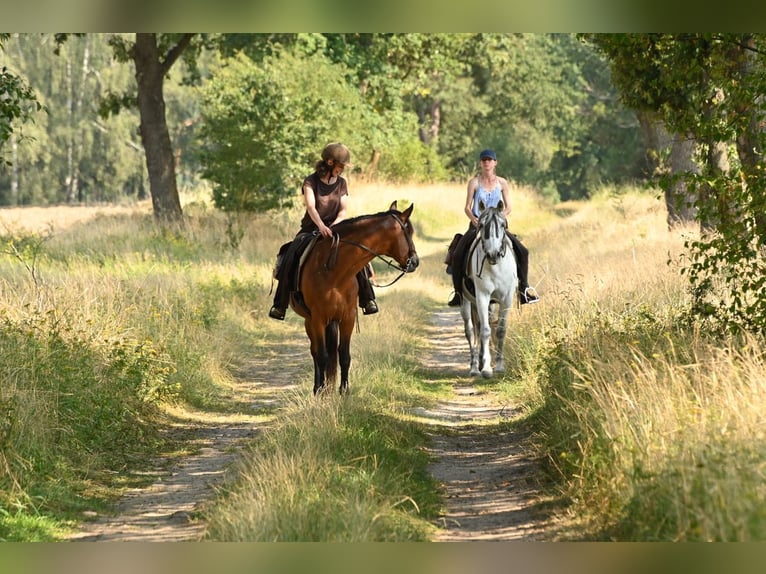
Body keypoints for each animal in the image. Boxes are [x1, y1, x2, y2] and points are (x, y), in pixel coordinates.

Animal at [290, 202, 420, 396]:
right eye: (408, 232)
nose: (415, 262)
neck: (335, 271)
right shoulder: (318, 318)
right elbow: (321, 355)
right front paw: (321, 391)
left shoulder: (348, 318)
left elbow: (344, 355)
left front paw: (344, 391)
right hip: (310, 321)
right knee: (315, 351)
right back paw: (318, 387)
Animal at [460, 200, 520, 380]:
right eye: (481, 225)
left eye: (502, 225)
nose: (493, 254)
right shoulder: (482, 296)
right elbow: (485, 331)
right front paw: (486, 368)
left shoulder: (506, 298)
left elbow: (500, 329)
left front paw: (499, 365)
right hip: (466, 302)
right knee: (471, 331)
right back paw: (474, 367)